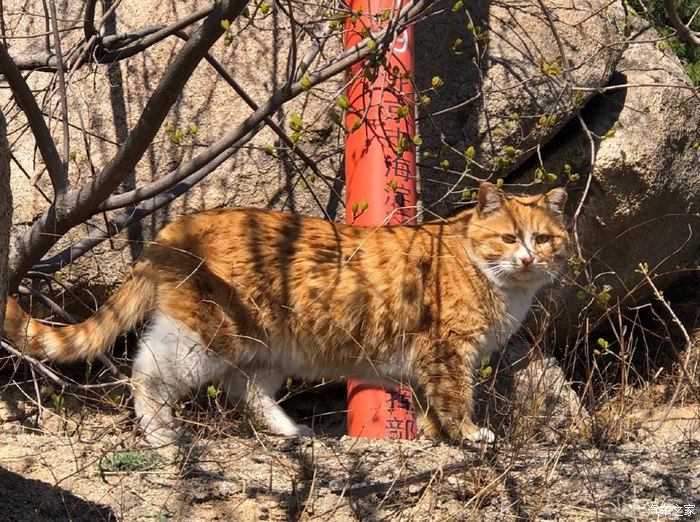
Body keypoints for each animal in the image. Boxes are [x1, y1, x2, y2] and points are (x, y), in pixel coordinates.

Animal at [1, 181, 568, 440]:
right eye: (508, 239)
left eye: (543, 239)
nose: (528, 258)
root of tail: (179, 223)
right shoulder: (448, 350)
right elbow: (454, 400)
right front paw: (470, 434)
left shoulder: (428, 360)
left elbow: (430, 406)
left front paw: (433, 438)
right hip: (206, 337)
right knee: (148, 373)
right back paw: (162, 434)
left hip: (267, 349)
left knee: (246, 390)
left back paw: (290, 432)